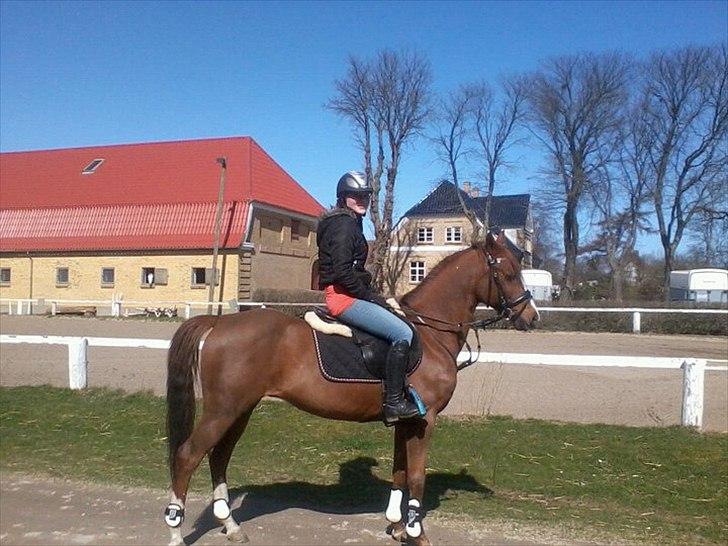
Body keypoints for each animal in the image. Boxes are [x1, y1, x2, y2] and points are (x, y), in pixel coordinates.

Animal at [164, 231, 539, 546]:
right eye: (508, 273)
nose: (532, 317)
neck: (429, 333)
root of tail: (219, 322)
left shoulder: (405, 421)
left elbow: (400, 472)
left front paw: (397, 526)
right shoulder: (425, 420)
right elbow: (417, 476)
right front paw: (416, 533)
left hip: (241, 409)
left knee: (218, 456)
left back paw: (230, 526)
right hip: (223, 410)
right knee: (187, 456)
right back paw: (176, 533)